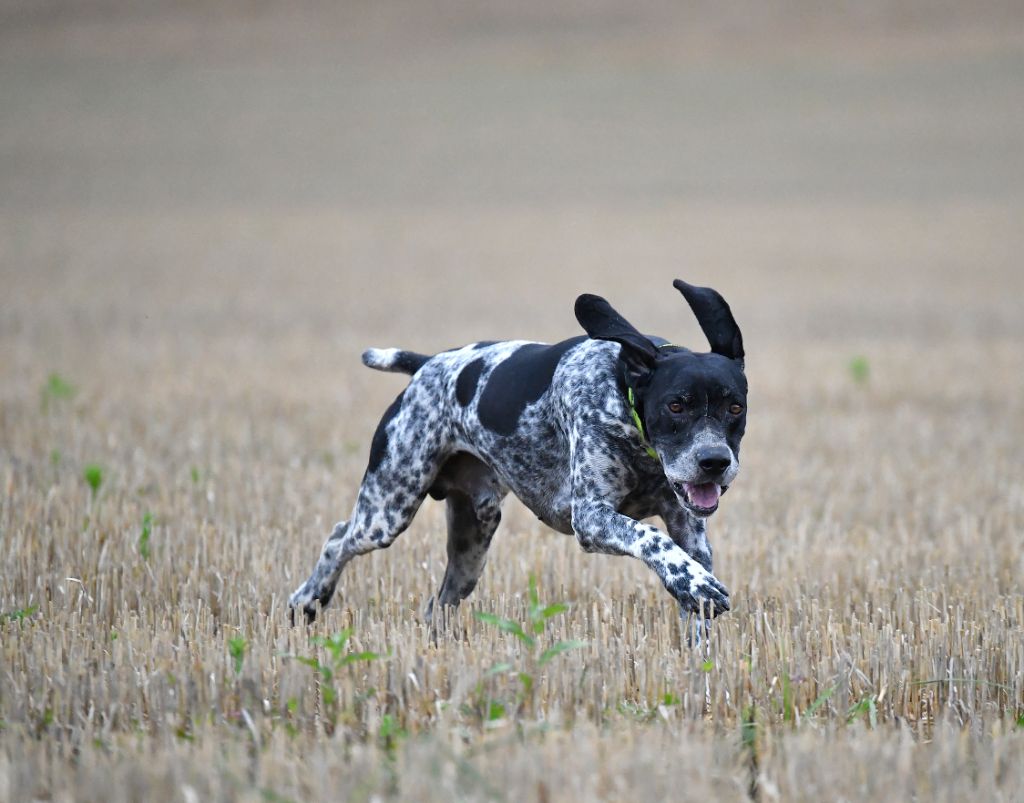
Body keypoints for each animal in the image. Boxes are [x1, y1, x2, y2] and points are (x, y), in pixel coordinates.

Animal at [288, 280, 745, 626]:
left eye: (735, 407)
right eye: (676, 405)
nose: (714, 462)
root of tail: (429, 364)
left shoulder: (690, 530)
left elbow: (690, 581)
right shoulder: (591, 517)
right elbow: (650, 537)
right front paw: (693, 583)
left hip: (473, 538)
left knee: (438, 604)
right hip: (386, 511)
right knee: (338, 538)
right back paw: (307, 600)